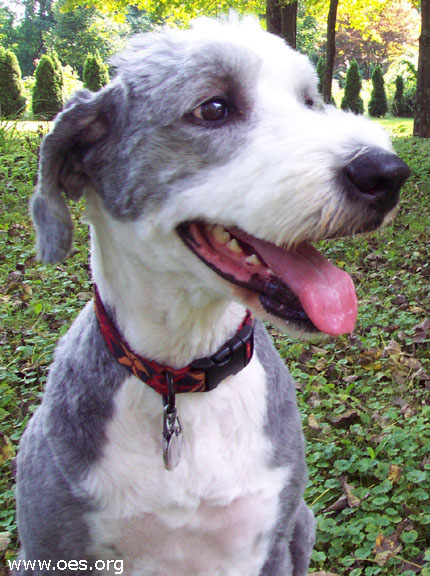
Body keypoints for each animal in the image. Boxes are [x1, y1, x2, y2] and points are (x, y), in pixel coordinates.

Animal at [15, 13, 408, 576]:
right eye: (214, 108)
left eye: (309, 100)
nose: (386, 172)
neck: (183, 378)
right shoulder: (49, 549)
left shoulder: (266, 544)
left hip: (302, 522)